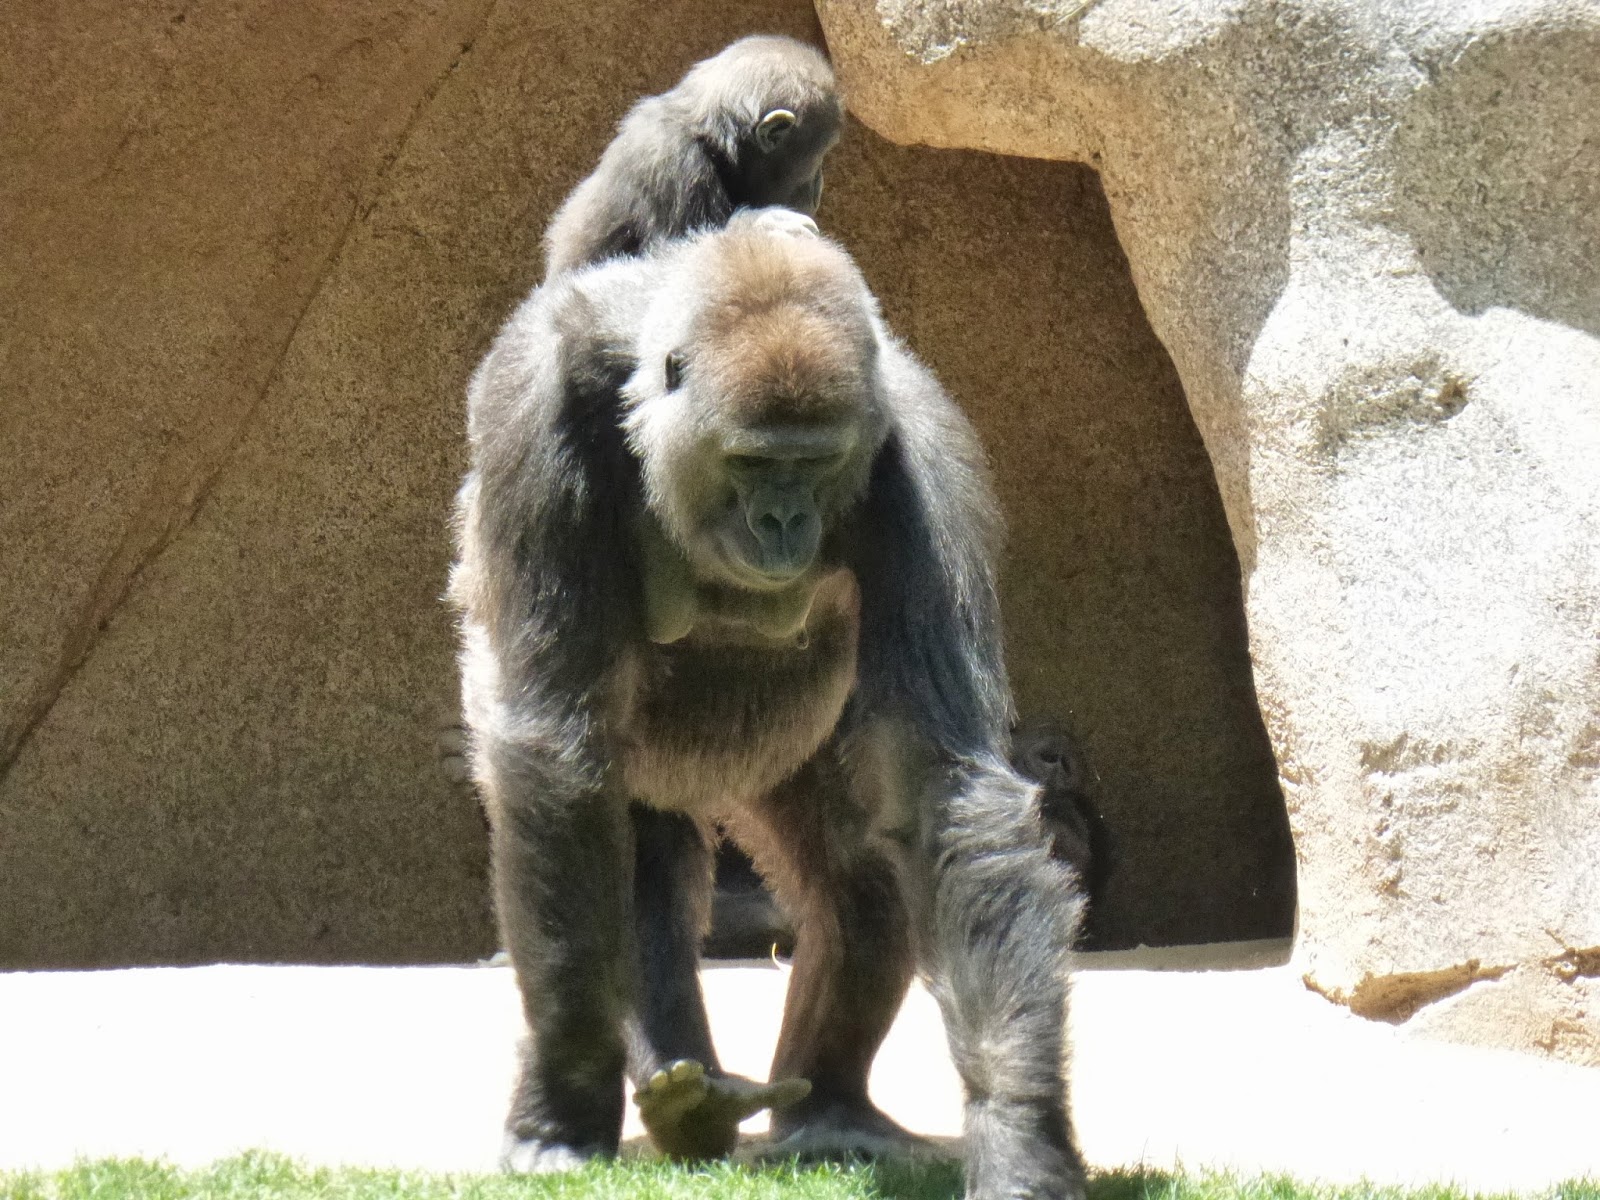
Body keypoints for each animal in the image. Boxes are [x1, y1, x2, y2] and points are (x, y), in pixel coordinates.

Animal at [450, 208, 1087, 1198]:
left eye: (814, 466)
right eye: (750, 461)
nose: (783, 524)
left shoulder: (918, 459)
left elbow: (944, 787)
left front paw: (1018, 1134)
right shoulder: (538, 411)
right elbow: (556, 748)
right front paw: (565, 1097)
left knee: (853, 879)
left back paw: (827, 1108)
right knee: (622, 837)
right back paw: (687, 1096)